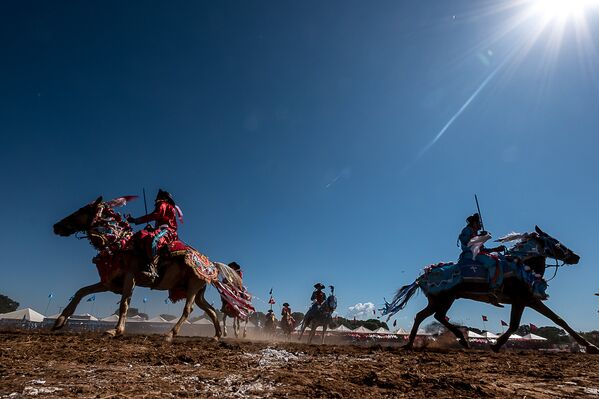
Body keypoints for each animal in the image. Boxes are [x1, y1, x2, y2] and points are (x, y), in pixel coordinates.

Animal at [51, 196, 243, 340]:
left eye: (82, 210)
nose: (56, 226)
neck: (121, 243)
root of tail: (211, 265)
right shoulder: (109, 282)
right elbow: (81, 291)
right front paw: (60, 321)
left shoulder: (130, 278)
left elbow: (124, 304)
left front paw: (115, 330)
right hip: (197, 292)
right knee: (211, 311)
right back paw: (216, 336)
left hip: (194, 287)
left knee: (189, 310)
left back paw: (170, 334)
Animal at [384, 227, 599, 354]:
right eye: (557, 243)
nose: (576, 257)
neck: (523, 266)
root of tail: (423, 276)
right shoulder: (523, 300)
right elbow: (516, 325)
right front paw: (496, 345)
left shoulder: (529, 300)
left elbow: (558, 320)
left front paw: (590, 345)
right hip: (443, 299)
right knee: (432, 316)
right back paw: (457, 340)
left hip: (444, 300)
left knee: (430, 316)